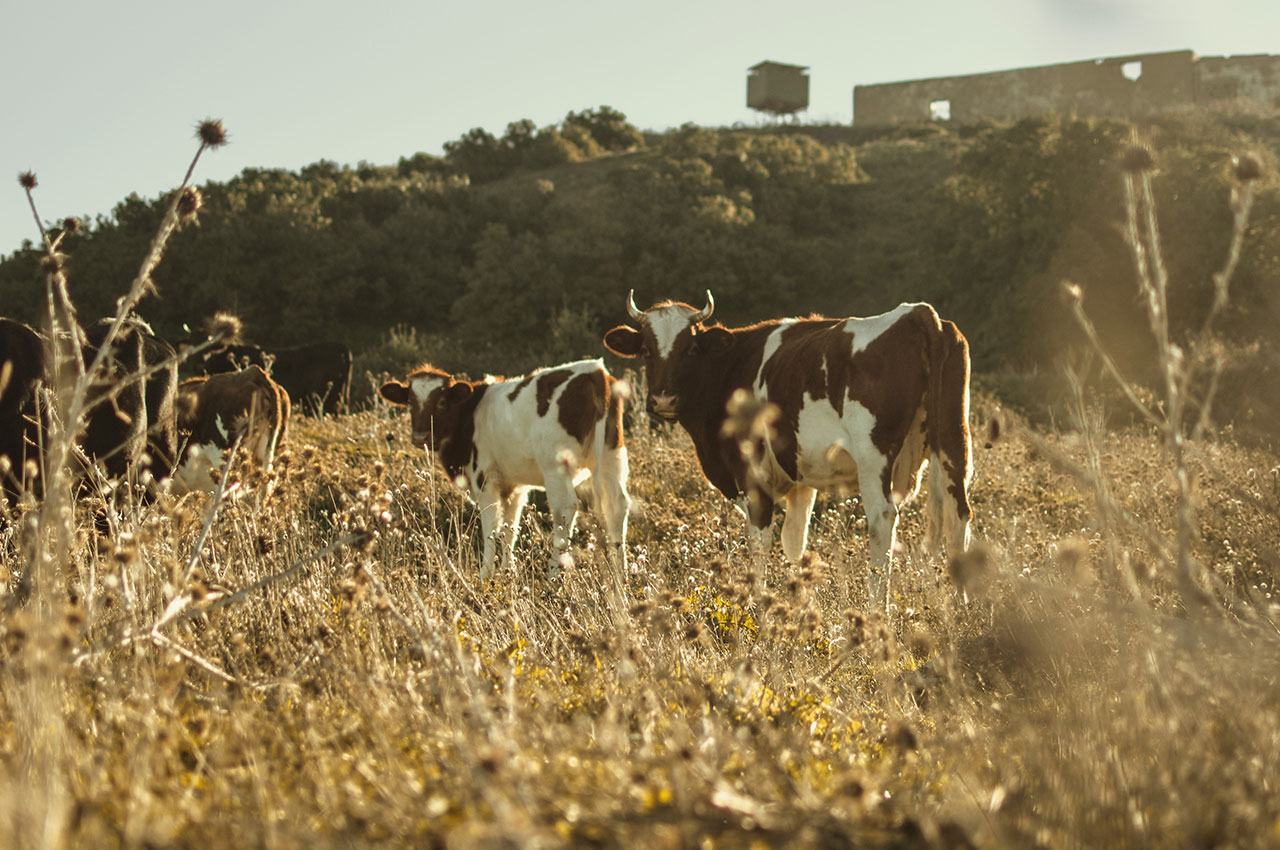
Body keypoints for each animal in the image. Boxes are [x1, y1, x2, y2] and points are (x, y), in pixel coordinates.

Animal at [376, 355, 632, 581]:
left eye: (441, 402)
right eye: (410, 401)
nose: (420, 436)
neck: (469, 415)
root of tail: (595, 371)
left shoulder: (484, 480)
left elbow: (490, 527)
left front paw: (485, 575)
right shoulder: (514, 485)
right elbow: (510, 528)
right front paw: (509, 571)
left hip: (555, 465)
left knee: (565, 509)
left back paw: (554, 575)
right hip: (612, 454)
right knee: (617, 505)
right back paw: (621, 575)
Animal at [604, 291, 972, 604]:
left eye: (690, 349)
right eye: (646, 350)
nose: (664, 399)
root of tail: (917, 312)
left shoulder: (751, 473)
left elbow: (760, 540)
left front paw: (758, 604)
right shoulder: (801, 478)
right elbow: (795, 541)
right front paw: (798, 604)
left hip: (874, 456)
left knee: (882, 519)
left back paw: (876, 610)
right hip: (954, 440)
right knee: (959, 515)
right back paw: (960, 606)